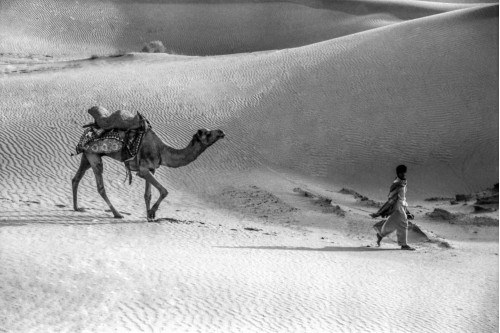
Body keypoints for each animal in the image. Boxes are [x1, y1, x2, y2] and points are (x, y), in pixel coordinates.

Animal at [72, 127, 225, 220]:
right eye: (208, 133)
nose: (221, 132)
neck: (162, 151)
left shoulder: (152, 169)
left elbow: (148, 195)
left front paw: (148, 216)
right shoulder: (143, 170)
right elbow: (164, 191)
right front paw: (151, 213)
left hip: (87, 156)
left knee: (76, 178)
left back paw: (76, 208)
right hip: (94, 156)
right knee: (100, 187)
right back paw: (117, 214)